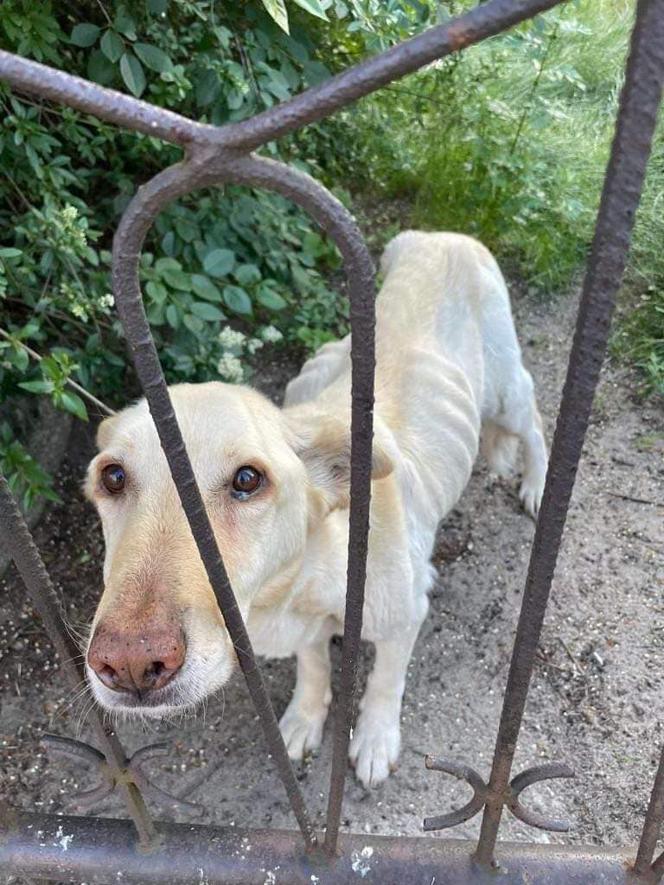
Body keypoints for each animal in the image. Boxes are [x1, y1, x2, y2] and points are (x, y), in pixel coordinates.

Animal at [85, 230, 548, 788]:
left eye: (247, 479)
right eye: (112, 477)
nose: (130, 664)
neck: (307, 575)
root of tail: (440, 235)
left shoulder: (402, 619)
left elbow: (385, 682)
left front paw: (374, 738)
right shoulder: (307, 631)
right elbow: (313, 668)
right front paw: (305, 719)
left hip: (506, 393)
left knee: (536, 422)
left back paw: (538, 484)